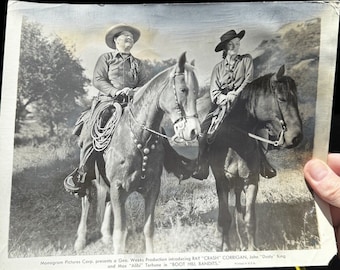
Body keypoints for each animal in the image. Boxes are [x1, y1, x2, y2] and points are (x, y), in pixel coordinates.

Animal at [74, 52, 201, 253]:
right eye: (183, 90)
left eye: (197, 93)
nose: (193, 131)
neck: (140, 137)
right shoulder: (119, 188)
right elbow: (120, 234)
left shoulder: (152, 189)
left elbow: (148, 229)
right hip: (87, 172)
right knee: (86, 199)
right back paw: (80, 240)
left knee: (105, 199)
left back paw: (105, 235)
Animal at [207, 65, 302, 251]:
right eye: (282, 98)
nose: (296, 138)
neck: (235, 142)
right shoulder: (222, 182)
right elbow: (224, 218)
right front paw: (226, 248)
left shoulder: (251, 181)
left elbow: (249, 219)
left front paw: (251, 248)